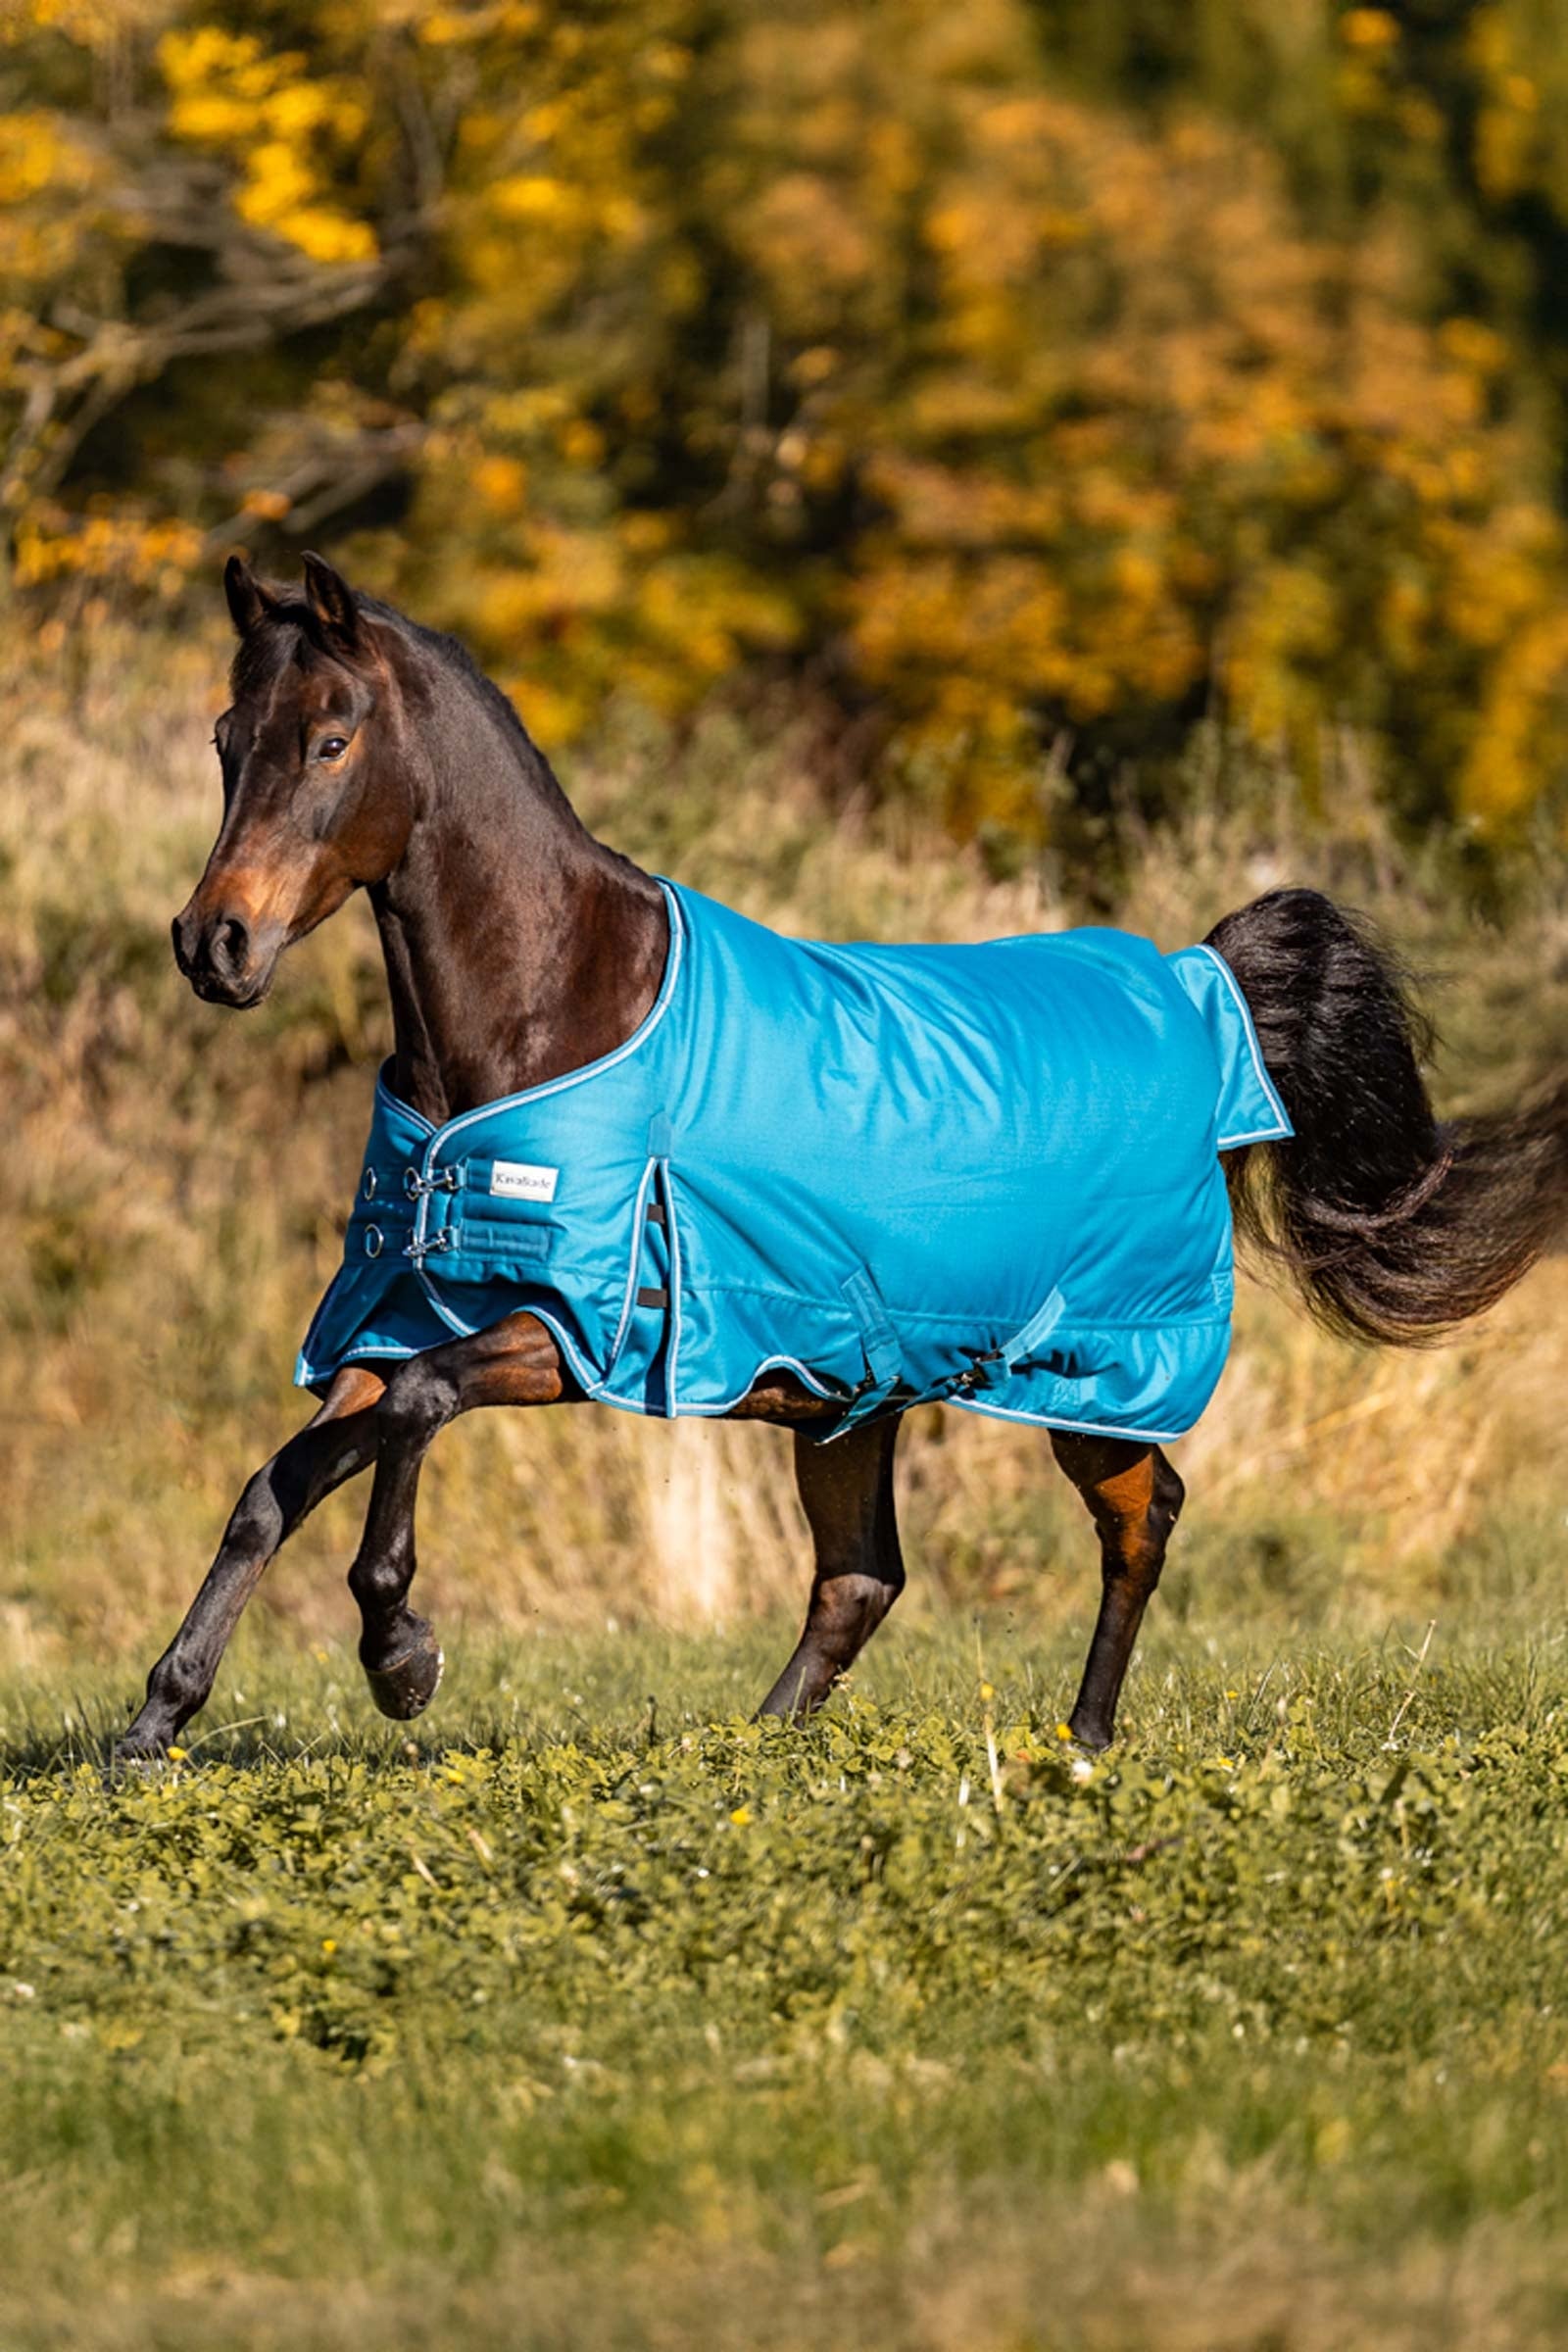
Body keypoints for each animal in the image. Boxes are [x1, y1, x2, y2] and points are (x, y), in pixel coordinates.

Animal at [113, 553, 1568, 1765]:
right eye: (228, 741)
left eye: (332, 739)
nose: (212, 944)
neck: (549, 1013)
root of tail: (1195, 991)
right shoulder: (413, 1311)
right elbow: (274, 1485)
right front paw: (152, 1723)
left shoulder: (572, 1331)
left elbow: (415, 1410)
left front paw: (401, 1660)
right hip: (847, 1397)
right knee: (863, 1576)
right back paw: (756, 1748)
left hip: (1092, 1374)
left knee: (1139, 1519)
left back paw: (1083, 1742)